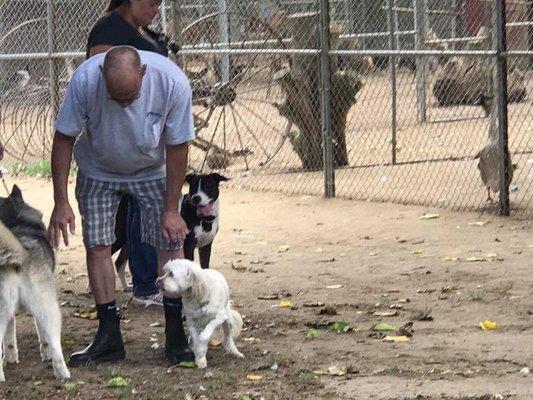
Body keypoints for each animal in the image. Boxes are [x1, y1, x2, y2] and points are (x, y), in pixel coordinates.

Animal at [0, 186, 70, 382]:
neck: (17, 220)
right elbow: (43, 335)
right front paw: (46, 354)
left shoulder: (10, 313)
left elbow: (9, 337)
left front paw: (10, 358)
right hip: (50, 308)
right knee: (55, 344)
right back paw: (63, 373)